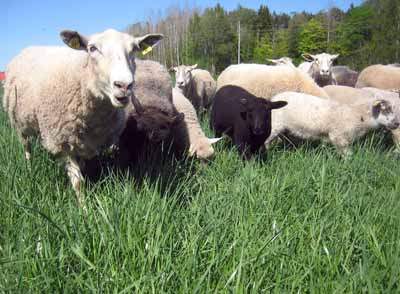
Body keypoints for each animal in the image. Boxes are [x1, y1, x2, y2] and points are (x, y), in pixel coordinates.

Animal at [3, 29, 162, 204]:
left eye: (134, 48)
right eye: (92, 48)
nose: (124, 85)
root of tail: (29, 48)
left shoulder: (86, 142)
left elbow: (84, 170)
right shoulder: (64, 141)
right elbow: (78, 182)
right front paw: (84, 207)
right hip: (18, 122)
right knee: (26, 148)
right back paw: (29, 168)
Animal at [264, 91, 398, 156]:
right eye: (385, 109)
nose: (397, 123)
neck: (357, 115)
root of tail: (273, 98)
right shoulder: (338, 136)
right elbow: (347, 155)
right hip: (275, 124)